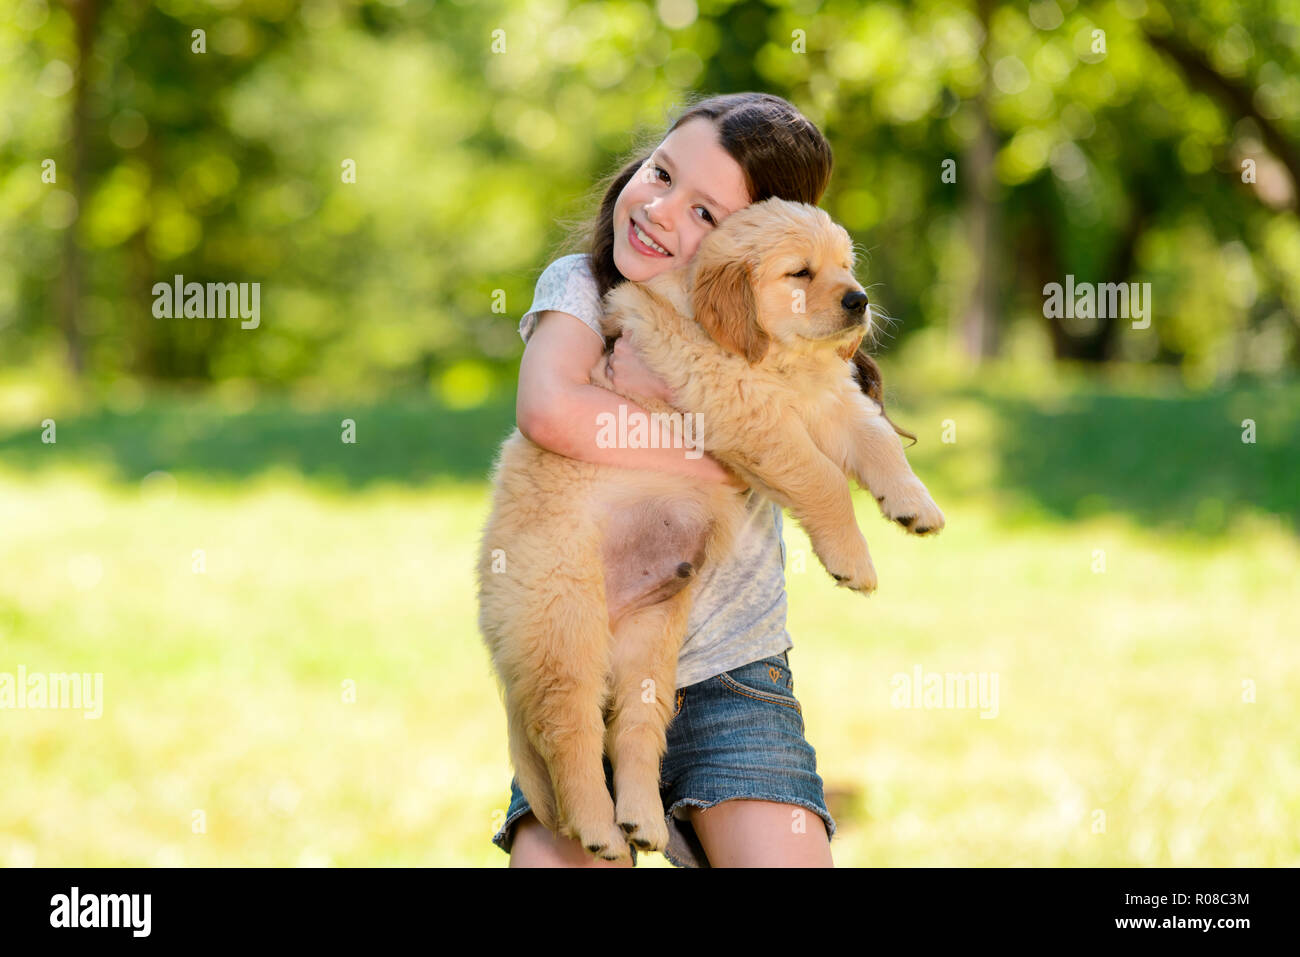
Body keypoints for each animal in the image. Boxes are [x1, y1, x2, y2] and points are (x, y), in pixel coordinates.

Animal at [478, 197, 946, 863]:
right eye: (799, 273)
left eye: (846, 267)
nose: (859, 299)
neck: (773, 359)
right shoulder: (746, 412)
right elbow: (825, 479)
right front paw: (853, 561)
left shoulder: (831, 400)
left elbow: (877, 441)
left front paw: (914, 505)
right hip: (564, 623)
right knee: (568, 729)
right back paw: (598, 828)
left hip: (652, 638)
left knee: (633, 730)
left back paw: (641, 818)